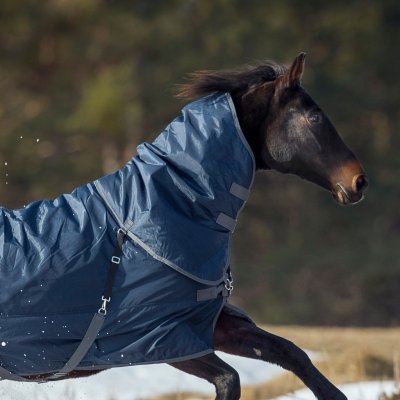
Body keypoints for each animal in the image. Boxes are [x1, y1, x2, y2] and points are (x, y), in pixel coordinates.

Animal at [0, 54, 368, 400]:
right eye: (314, 116)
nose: (359, 182)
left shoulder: (209, 324)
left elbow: (290, 352)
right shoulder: (162, 338)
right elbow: (229, 380)